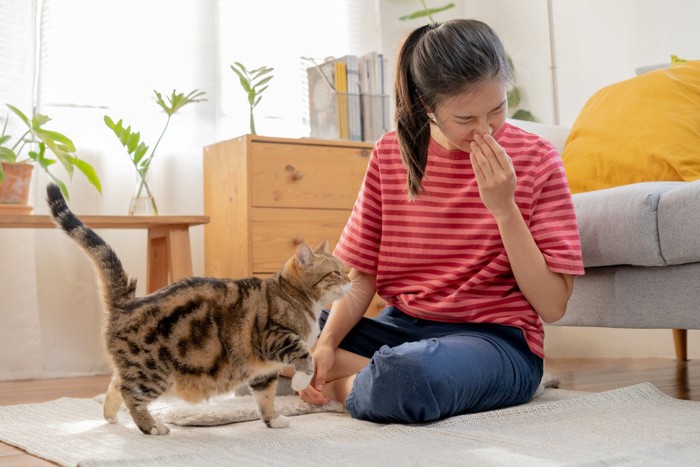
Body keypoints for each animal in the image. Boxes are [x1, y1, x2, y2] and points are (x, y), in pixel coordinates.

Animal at [46, 183, 352, 436]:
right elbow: (306, 356)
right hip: (152, 372)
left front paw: (273, 420)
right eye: (336, 272)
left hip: (137, 368)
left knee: (115, 385)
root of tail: (128, 302)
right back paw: (151, 426)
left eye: (343, 269)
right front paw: (302, 383)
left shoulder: (263, 370)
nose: (351, 280)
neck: (296, 296)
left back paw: (110, 416)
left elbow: (266, 397)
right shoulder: (273, 337)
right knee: (129, 393)